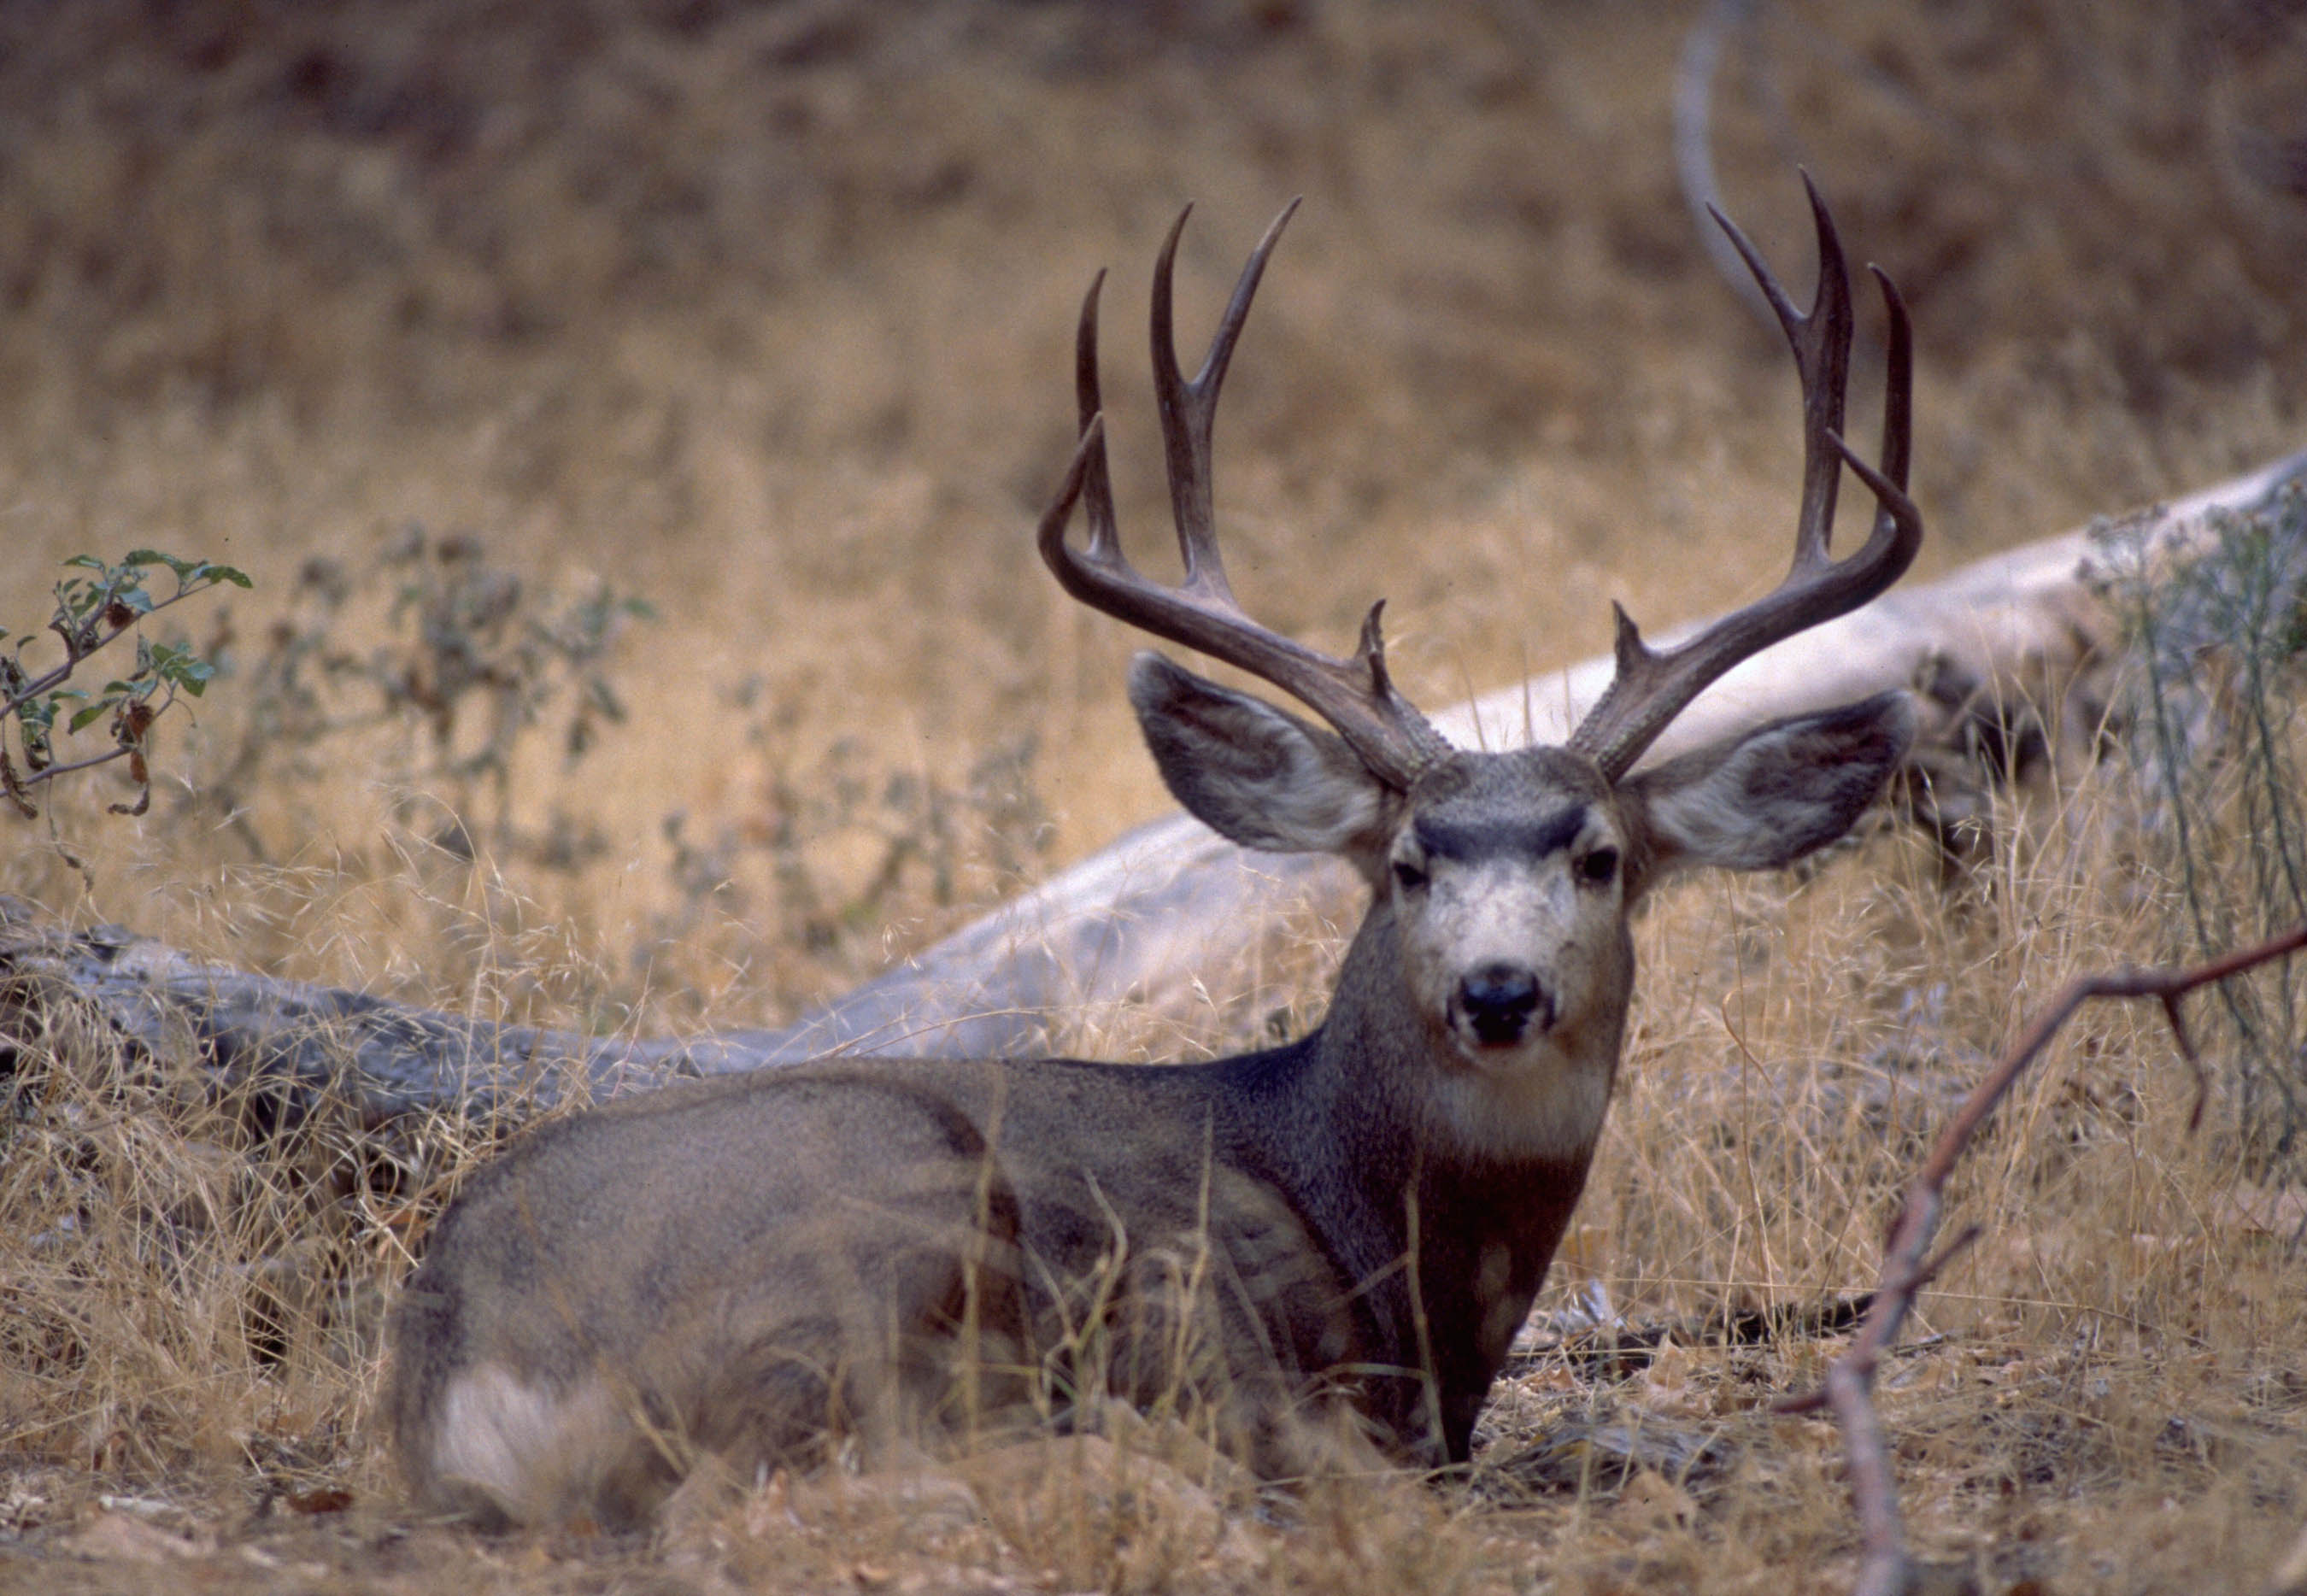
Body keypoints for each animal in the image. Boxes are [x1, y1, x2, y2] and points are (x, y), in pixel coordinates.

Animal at [386, 179, 1921, 1530]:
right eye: (1408, 861)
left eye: (1599, 857)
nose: (1498, 991)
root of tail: (463, 1360)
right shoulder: (1220, 1333)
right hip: (881, 1231)